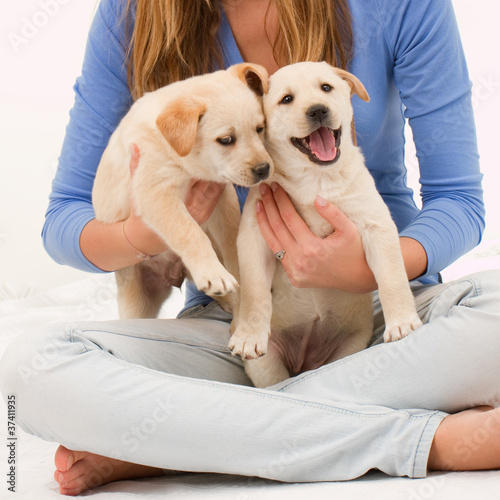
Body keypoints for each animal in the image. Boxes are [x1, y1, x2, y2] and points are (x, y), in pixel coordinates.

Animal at [92, 64, 272, 318]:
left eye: (260, 129)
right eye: (226, 139)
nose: (264, 169)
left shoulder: (222, 196)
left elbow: (231, 238)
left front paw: (239, 276)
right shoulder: (156, 193)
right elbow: (189, 232)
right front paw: (213, 273)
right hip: (135, 301)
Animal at [229, 62, 422, 388]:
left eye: (326, 88)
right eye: (287, 99)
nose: (318, 110)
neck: (316, 179)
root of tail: (304, 361)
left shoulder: (376, 226)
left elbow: (392, 277)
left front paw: (401, 321)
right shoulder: (253, 236)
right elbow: (254, 290)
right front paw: (248, 335)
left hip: (350, 346)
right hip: (268, 367)